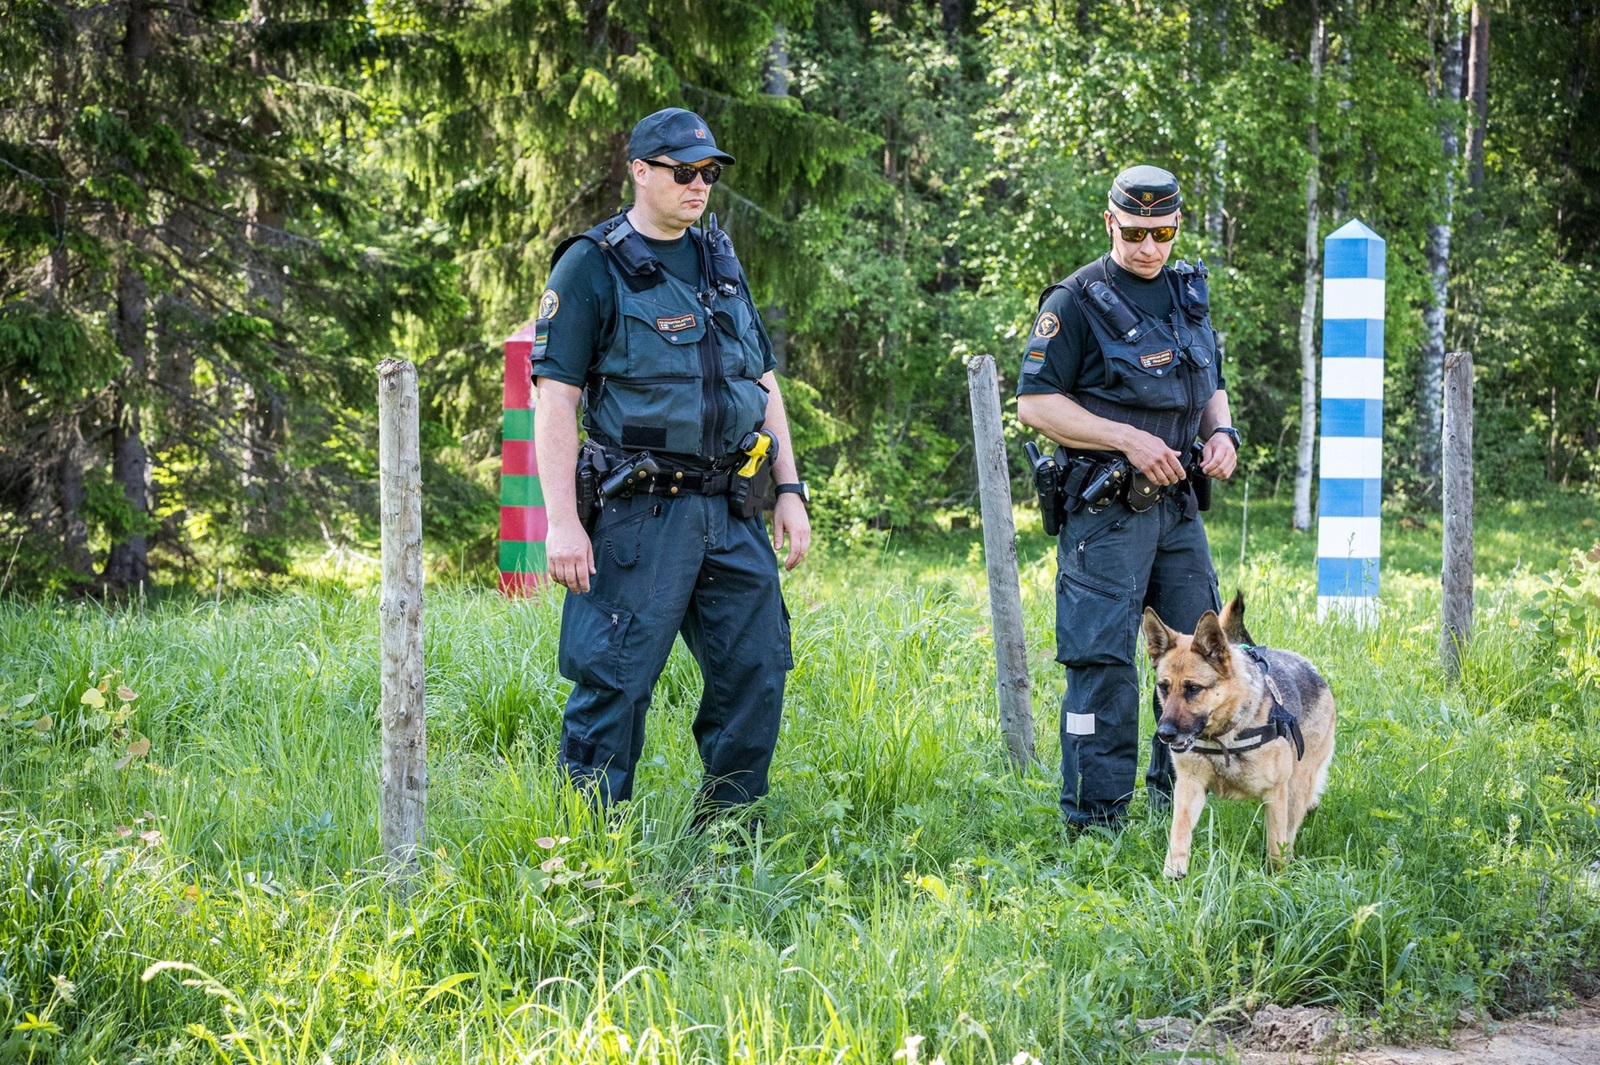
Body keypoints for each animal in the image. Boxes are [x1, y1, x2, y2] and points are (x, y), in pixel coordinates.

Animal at [1145, 591, 1331, 876]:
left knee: (1291, 828)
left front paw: (1275, 880)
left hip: (1297, 786)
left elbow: (1276, 845)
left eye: (1193, 688)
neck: (1224, 737)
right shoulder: (1189, 786)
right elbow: (1179, 833)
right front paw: (1174, 873)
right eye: (1163, 687)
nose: (1164, 734)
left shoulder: (1276, 795)